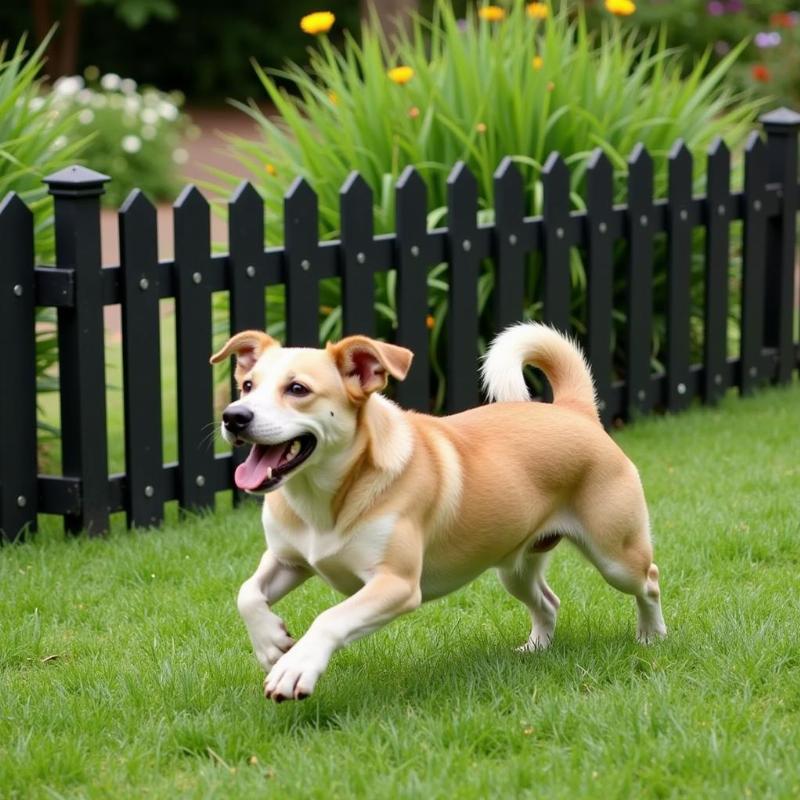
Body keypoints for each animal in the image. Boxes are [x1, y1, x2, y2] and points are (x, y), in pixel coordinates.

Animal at [209, 322, 664, 704]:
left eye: (298, 389)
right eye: (246, 385)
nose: (233, 416)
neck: (324, 498)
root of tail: (573, 409)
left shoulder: (395, 584)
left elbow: (330, 618)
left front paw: (295, 668)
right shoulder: (288, 561)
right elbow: (246, 593)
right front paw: (271, 643)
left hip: (615, 554)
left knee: (649, 581)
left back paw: (651, 636)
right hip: (516, 564)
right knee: (547, 602)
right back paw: (536, 648)